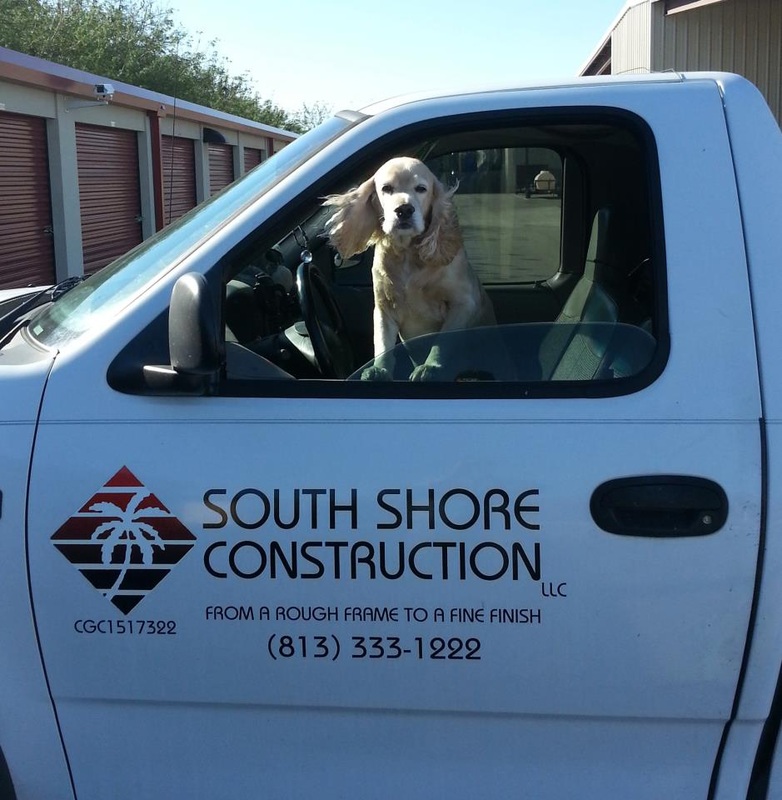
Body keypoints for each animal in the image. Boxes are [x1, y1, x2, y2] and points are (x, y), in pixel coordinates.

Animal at [323, 156, 495, 380]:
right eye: (386, 188)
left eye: (421, 188)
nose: (404, 210)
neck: (406, 254)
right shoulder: (384, 308)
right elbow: (383, 344)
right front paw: (379, 369)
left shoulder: (463, 303)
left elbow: (442, 342)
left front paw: (429, 367)